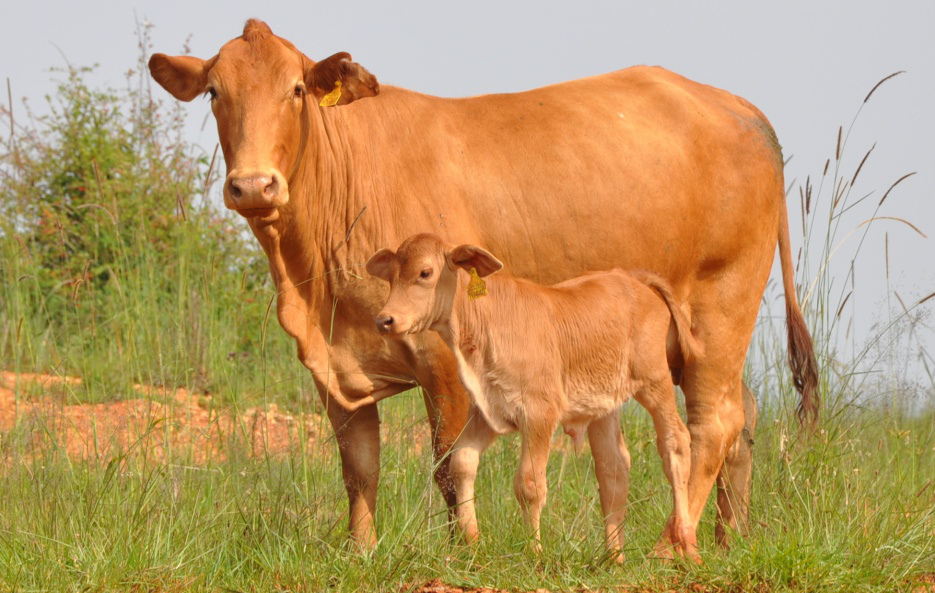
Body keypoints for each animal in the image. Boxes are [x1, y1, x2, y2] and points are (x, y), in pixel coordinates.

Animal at [366, 232, 704, 560]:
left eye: (425, 273)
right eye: (391, 275)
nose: (384, 319)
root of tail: (630, 276)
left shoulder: (539, 412)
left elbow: (529, 484)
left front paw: (534, 552)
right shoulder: (487, 410)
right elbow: (461, 462)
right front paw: (471, 541)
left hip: (655, 381)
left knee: (676, 443)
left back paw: (686, 542)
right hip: (604, 402)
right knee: (613, 468)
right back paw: (613, 558)